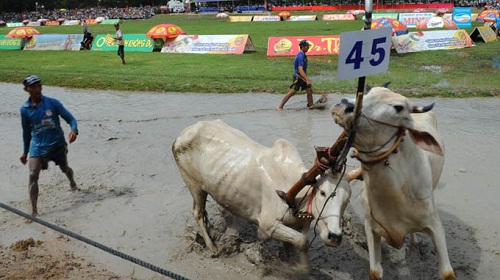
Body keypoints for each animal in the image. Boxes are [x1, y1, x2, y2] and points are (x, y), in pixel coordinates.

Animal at [172, 120, 352, 272]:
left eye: (347, 199)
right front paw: (302, 269)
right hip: (195, 185)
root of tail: (183, 133)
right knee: (198, 213)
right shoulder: (268, 225)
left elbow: (292, 245)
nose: (335, 236)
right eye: (323, 192)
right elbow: (303, 241)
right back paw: (212, 247)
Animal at [330, 87, 456, 280]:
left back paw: (414, 244)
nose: (343, 105)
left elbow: (447, 273)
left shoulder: (434, 224)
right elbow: (375, 271)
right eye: (369, 92)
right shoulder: (371, 226)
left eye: (398, 107)